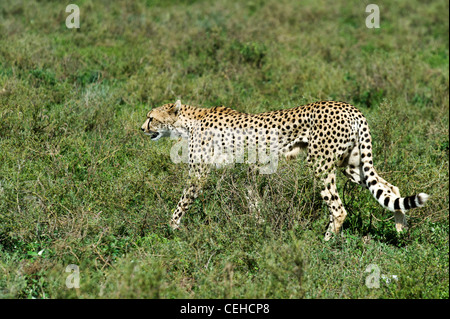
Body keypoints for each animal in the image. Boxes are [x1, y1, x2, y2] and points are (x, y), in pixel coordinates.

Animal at [141, 100, 428, 240]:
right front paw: (260, 226)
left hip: (320, 164)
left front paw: (171, 229)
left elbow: (182, 202)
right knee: (390, 189)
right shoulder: (247, 170)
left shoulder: (199, 173)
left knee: (338, 209)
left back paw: (324, 243)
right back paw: (400, 233)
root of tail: (350, 108)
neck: (188, 121)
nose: (141, 127)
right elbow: (252, 199)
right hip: (353, 165)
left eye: (151, 117)